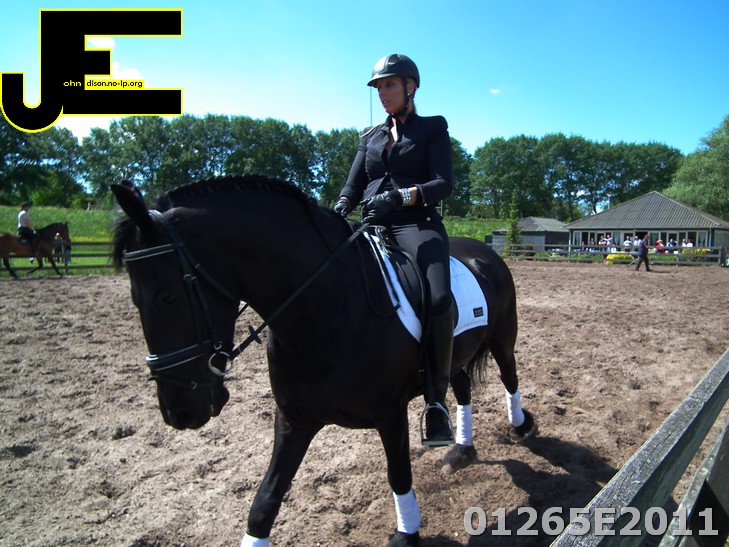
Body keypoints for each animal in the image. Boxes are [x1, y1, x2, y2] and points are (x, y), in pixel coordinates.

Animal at [111, 174, 536, 546]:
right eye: (133, 299)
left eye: (167, 297)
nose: (178, 412)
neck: (326, 305)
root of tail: (484, 252)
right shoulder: (294, 418)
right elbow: (265, 500)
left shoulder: (390, 414)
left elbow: (398, 475)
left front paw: (407, 532)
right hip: (457, 355)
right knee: (461, 387)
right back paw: (462, 449)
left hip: (502, 339)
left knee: (510, 377)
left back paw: (520, 426)